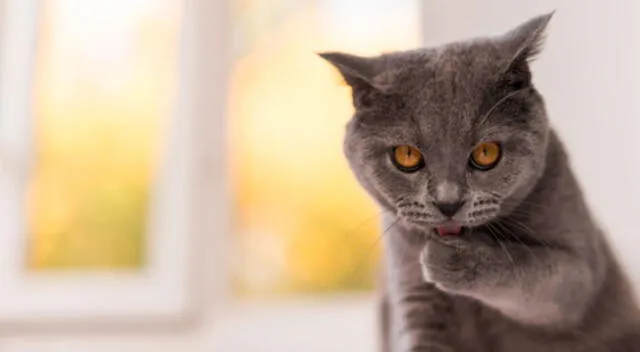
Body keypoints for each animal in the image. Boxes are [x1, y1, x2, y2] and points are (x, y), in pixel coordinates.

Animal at [322, 12, 640, 350]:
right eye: (406, 156)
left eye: (486, 153)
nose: (448, 202)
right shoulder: (412, 294)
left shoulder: (580, 269)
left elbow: (539, 274)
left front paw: (452, 258)